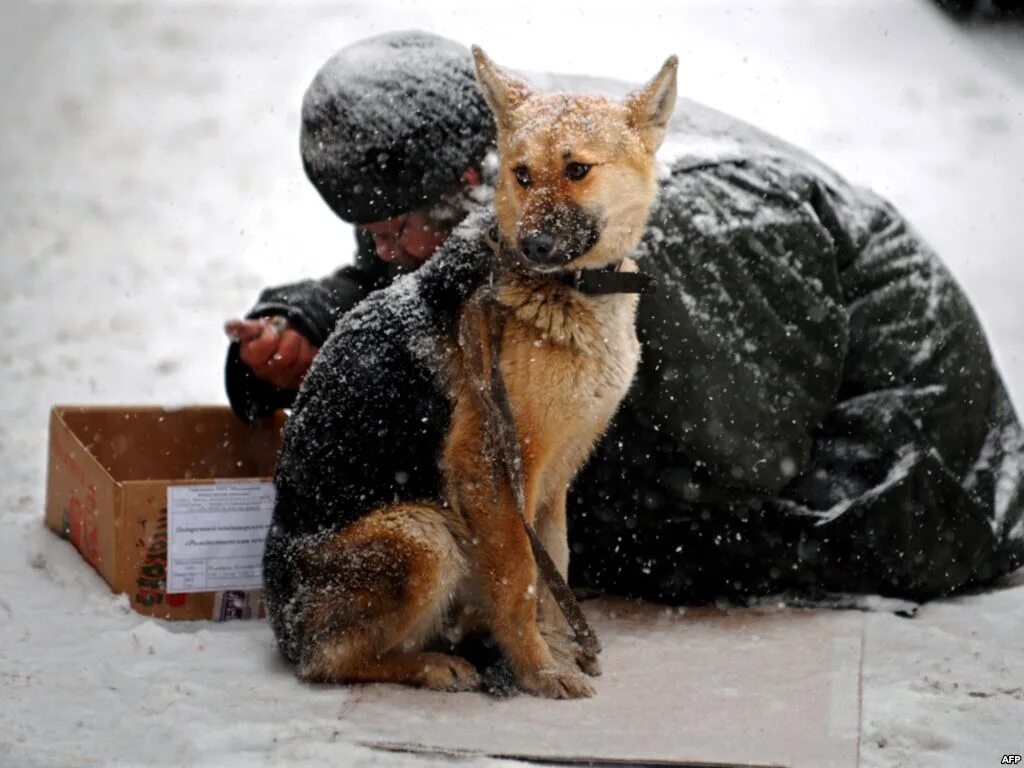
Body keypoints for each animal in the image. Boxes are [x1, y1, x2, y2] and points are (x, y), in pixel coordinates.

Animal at [284, 45, 675, 700]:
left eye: (577, 170)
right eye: (521, 174)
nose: (534, 245)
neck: (569, 291)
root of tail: (280, 625)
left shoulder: (553, 480)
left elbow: (555, 569)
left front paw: (559, 648)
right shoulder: (491, 466)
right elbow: (520, 582)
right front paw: (540, 670)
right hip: (422, 534)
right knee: (327, 663)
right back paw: (432, 665)